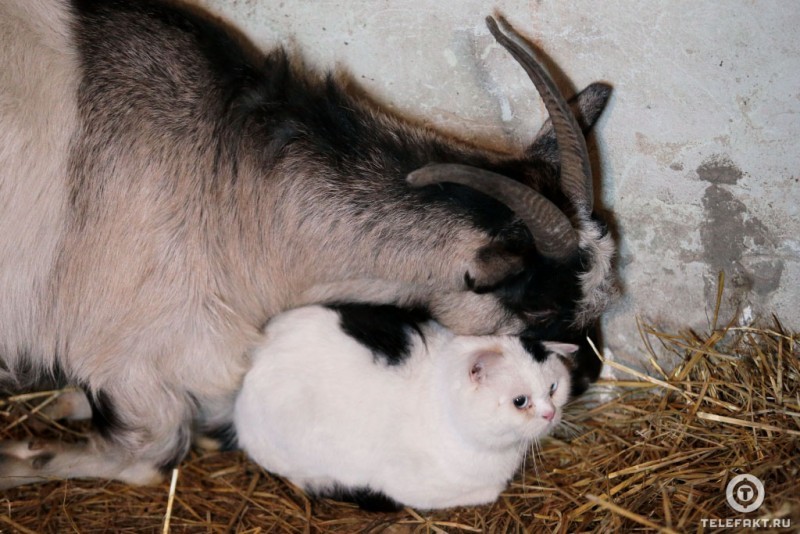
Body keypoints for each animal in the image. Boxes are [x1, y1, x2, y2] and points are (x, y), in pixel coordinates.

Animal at [0, 0, 612, 490]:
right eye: (539, 308)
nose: (590, 374)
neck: (223, 169)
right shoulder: (130, 347)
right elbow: (147, 455)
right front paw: (18, 457)